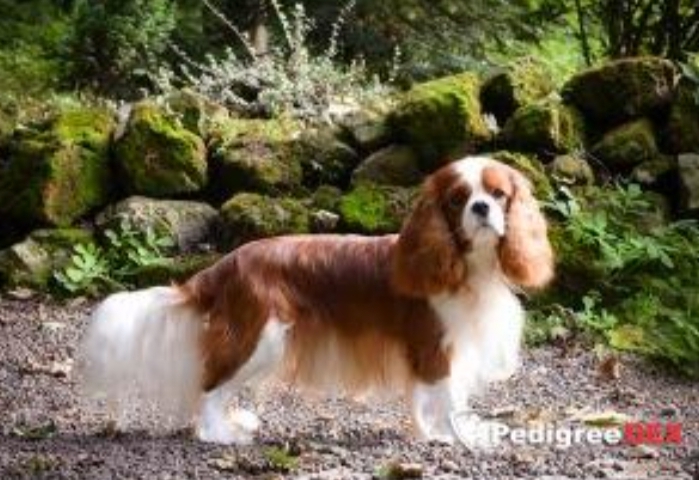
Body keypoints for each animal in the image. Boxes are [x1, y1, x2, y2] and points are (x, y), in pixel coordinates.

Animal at [81, 155, 554, 445]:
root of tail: (227, 263)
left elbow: (422, 399)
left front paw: (429, 433)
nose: (481, 209)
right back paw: (221, 434)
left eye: (499, 195)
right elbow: (450, 399)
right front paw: (462, 438)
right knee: (210, 384)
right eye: (458, 199)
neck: (467, 266)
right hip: (260, 337)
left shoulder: (429, 352)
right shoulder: (435, 346)